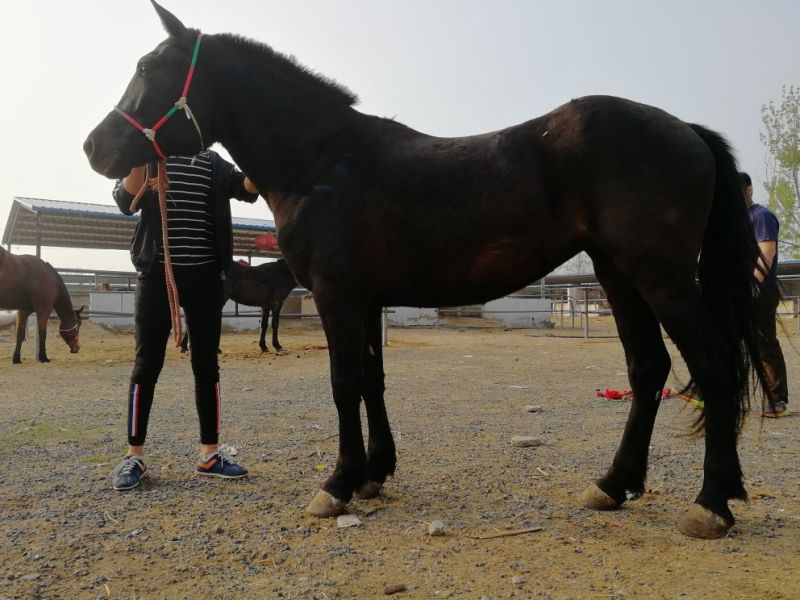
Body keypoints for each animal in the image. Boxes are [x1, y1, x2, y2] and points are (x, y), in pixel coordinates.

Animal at [84, 2, 767, 539]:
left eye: (150, 69)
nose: (95, 147)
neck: (322, 161)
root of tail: (685, 130)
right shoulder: (365, 299)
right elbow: (372, 381)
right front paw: (374, 473)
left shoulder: (336, 295)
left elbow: (344, 383)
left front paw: (337, 483)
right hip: (619, 276)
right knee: (648, 370)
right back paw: (613, 484)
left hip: (662, 278)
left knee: (712, 366)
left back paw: (712, 502)